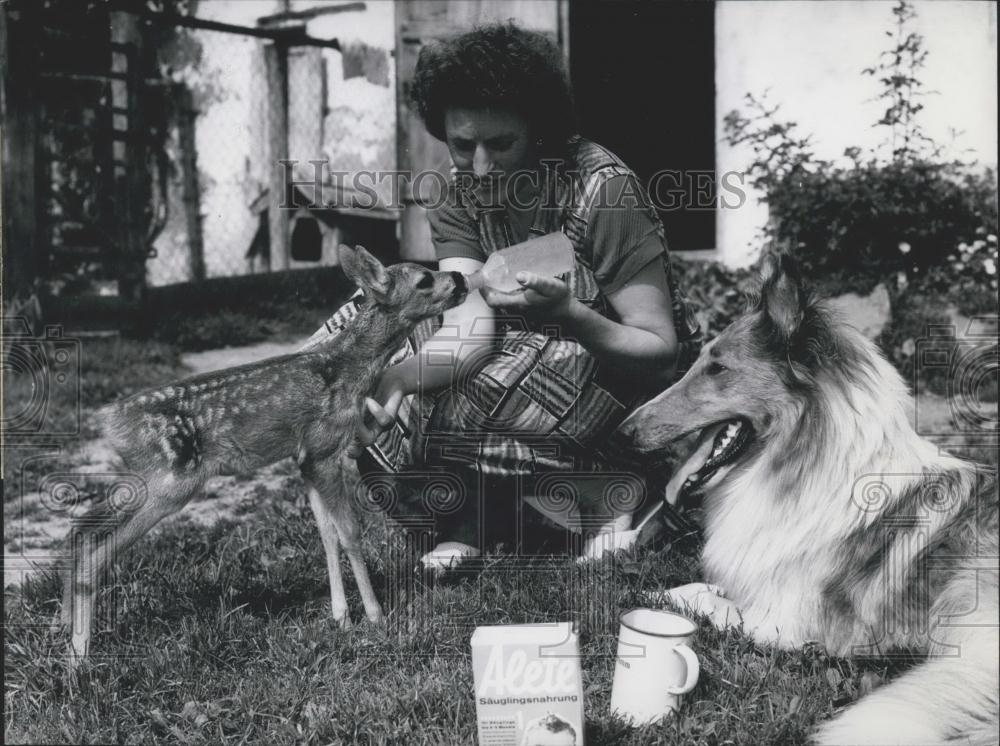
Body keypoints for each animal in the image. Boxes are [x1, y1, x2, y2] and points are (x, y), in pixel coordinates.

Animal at [620, 254, 996, 740]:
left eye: (717, 368)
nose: (623, 432)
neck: (801, 466)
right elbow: (700, 585)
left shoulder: (782, 622)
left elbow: (692, 595)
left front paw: (653, 593)